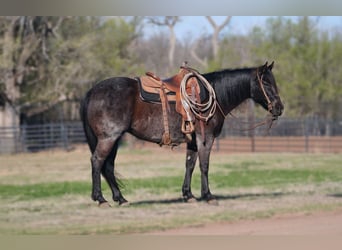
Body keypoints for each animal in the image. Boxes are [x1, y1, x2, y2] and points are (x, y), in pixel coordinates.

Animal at [80, 61, 284, 206]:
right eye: (266, 82)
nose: (279, 108)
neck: (214, 95)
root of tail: (92, 91)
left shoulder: (192, 141)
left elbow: (190, 164)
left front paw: (188, 194)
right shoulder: (205, 138)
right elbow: (204, 165)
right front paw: (208, 195)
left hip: (113, 139)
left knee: (108, 166)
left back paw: (120, 198)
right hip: (108, 138)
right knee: (97, 161)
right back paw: (100, 199)